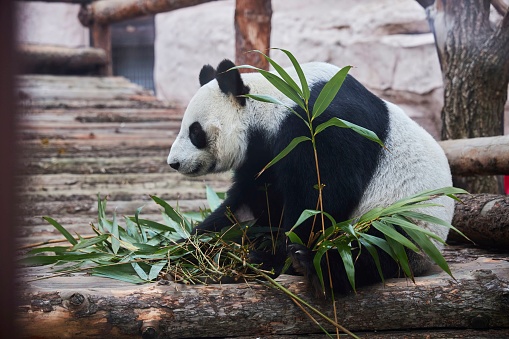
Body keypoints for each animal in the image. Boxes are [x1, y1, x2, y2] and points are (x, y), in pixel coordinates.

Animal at [167, 58, 452, 294]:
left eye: (195, 132)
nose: (174, 163)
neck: (274, 101)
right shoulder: (263, 158)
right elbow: (246, 208)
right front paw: (188, 246)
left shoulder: (321, 125)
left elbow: (323, 195)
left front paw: (274, 258)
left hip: (404, 221)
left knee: (371, 249)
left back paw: (310, 265)